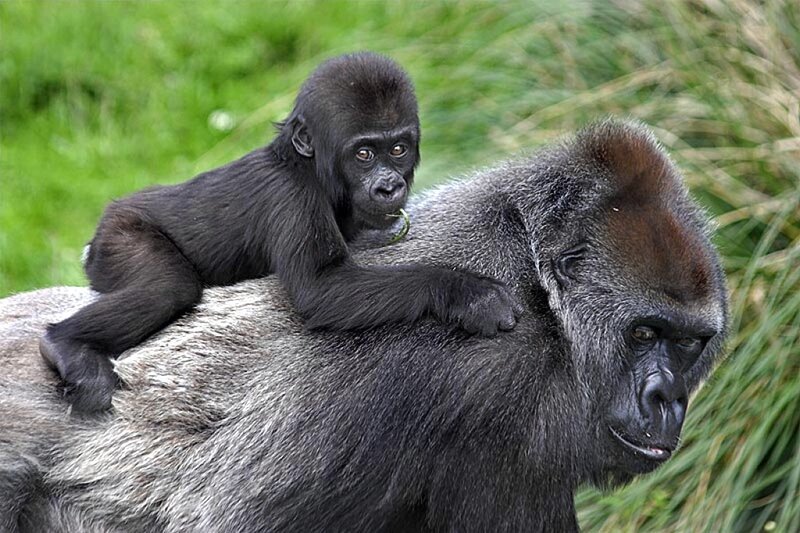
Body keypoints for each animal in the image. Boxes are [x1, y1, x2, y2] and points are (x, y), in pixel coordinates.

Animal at [38, 52, 521, 414]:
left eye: (398, 149)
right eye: (364, 154)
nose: (389, 186)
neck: (306, 164)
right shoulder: (291, 198)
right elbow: (321, 291)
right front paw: (462, 291)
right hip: (120, 234)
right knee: (166, 287)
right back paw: (67, 345)